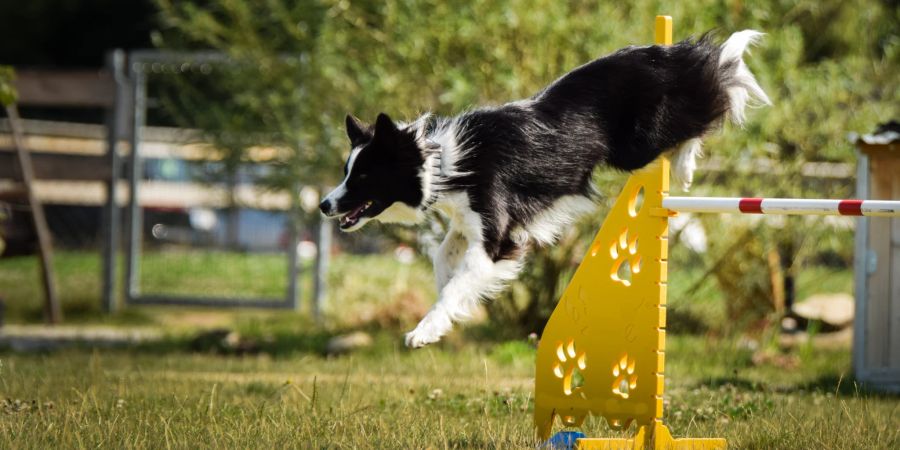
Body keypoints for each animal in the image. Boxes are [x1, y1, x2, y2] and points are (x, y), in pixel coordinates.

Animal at [316, 31, 768, 348]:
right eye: (345, 171)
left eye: (362, 177)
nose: (323, 204)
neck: (442, 163)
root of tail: (668, 53)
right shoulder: (468, 222)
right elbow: (444, 259)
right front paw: (447, 312)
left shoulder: (497, 239)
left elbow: (461, 280)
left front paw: (425, 330)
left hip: (638, 145)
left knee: (712, 98)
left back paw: (687, 162)